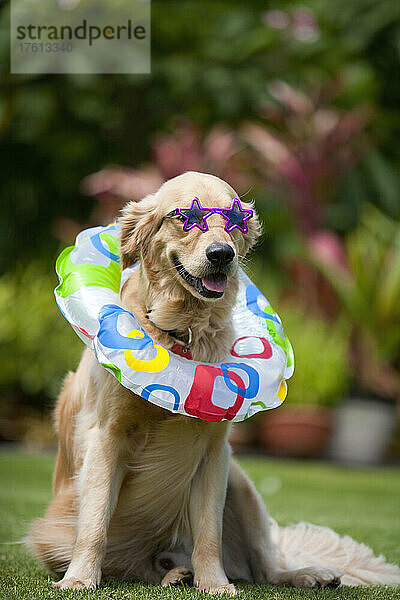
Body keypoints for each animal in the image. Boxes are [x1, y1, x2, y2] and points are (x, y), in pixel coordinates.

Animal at [27, 172, 400, 592]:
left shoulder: (213, 451)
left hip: (238, 481)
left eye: (235, 220)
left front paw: (215, 584)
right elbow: (93, 524)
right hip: (50, 535)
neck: (183, 333)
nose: (222, 254)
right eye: (184, 217)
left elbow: (208, 534)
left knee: (265, 564)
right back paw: (173, 573)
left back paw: (300, 573)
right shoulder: (106, 438)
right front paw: (78, 578)